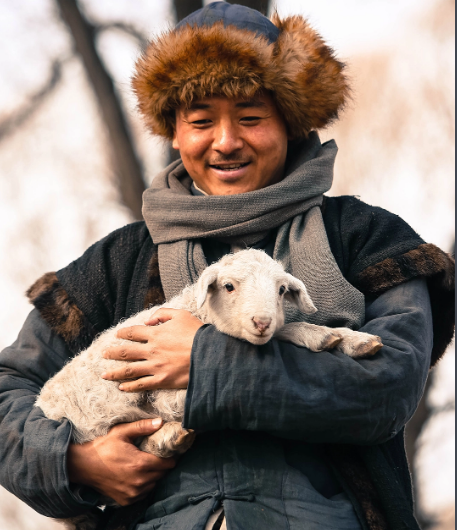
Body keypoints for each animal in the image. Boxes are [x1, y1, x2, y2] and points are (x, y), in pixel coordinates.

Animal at [37, 250, 382, 510]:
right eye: (228, 287)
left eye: (282, 291)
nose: (262, 321)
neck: (197, 312)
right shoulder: (164, 393)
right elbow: (282, 333)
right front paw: (322, 335)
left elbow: (285, 331)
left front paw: (351, 339)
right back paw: (167, 438)